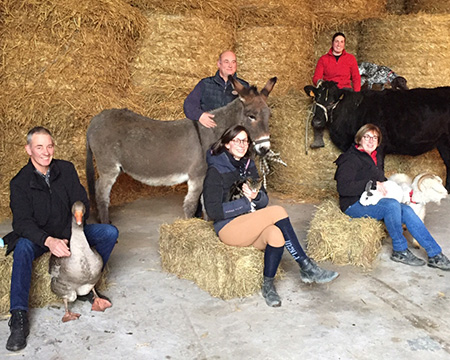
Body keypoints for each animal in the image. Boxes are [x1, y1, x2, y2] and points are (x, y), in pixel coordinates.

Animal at [302, 80, 450, 190]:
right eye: (315, 98)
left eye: (332, 102)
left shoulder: (379, 146)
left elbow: (378, 168)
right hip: (443, 144)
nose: (316, 121)